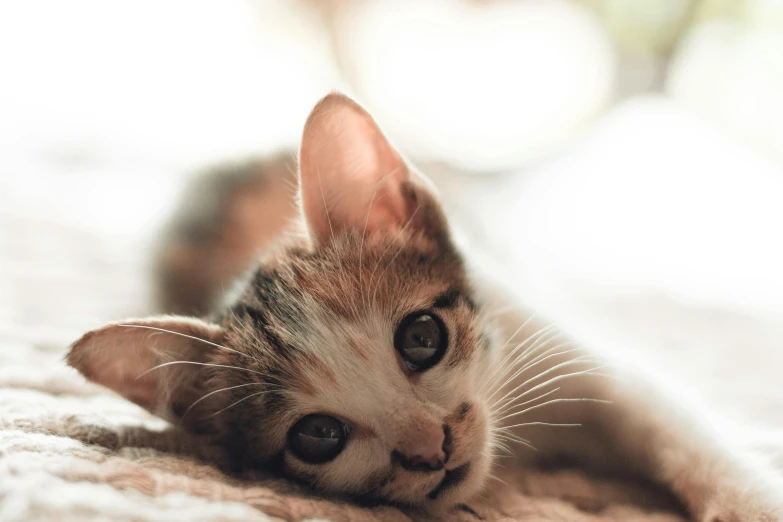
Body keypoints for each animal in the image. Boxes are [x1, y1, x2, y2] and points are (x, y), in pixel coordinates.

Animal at [67, 94, 783, 520]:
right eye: (317, 436)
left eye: (421, 337)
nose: (431, 449)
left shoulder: (557, 342)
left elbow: (673, 425)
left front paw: (750, 501)